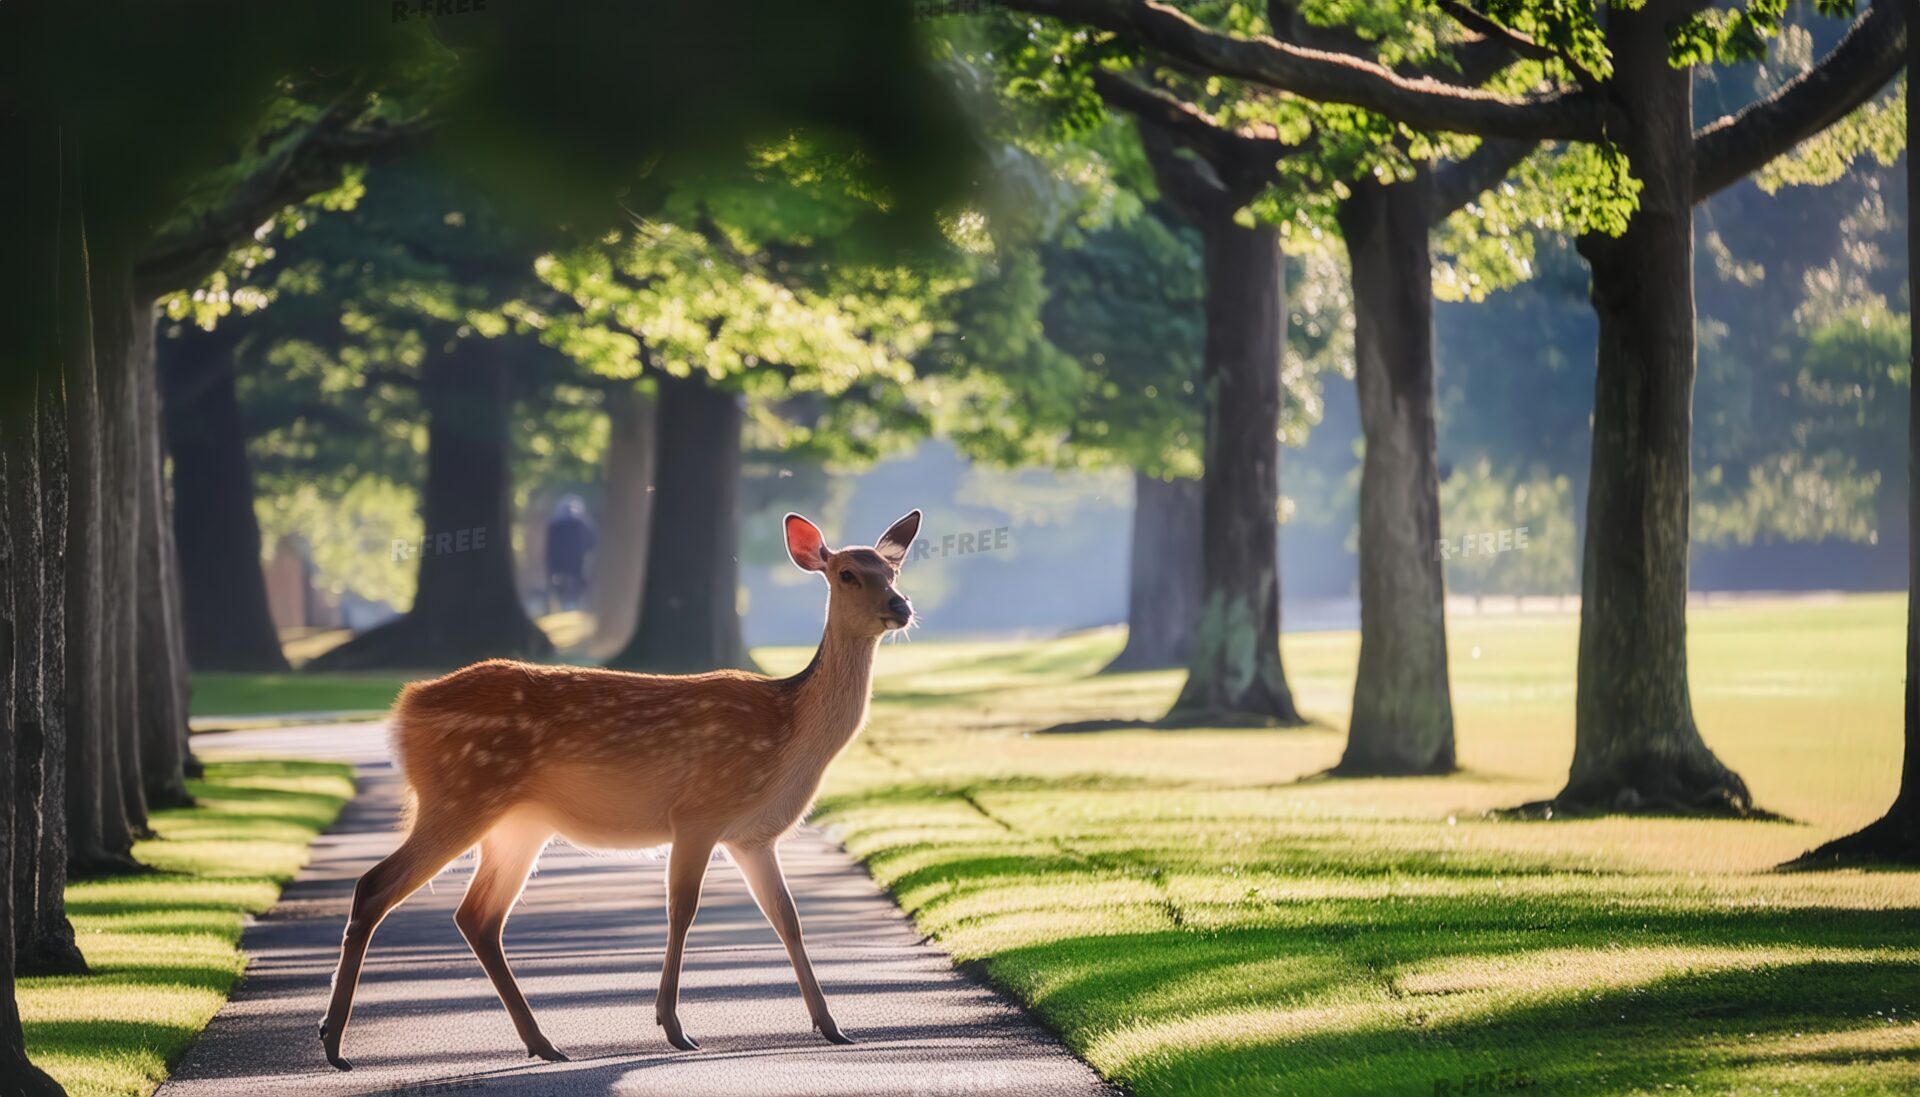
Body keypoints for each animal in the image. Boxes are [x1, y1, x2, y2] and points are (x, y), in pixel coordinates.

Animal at [319, 509, 921, 1070]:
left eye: (893, 569)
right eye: (846, 573)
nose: (902, 606)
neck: (788, 733)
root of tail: (405, 707)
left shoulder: (753, 837)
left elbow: (787, 919)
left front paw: (833, 1027)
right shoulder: (699, 811)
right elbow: (683, 910)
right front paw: (673, 1027)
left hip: (519, 823)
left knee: (478, 916)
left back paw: (543, 1043)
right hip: (459, 794)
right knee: (375, 886)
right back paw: (334, 1042)